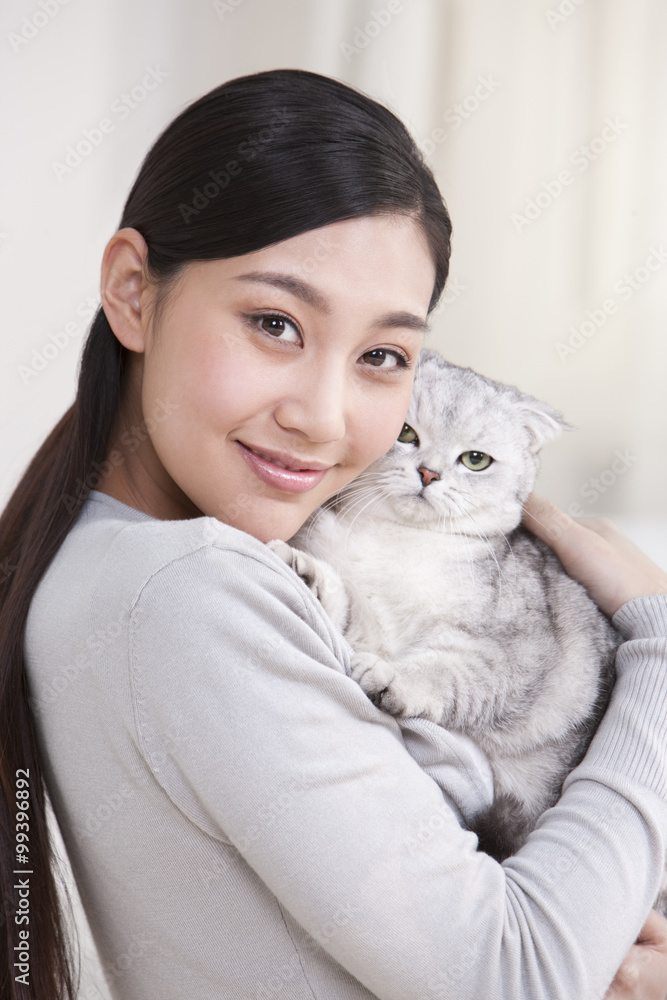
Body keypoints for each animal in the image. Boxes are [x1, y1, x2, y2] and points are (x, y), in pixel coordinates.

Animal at [266, 350, 620, 868]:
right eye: (405, 433)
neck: (397, 542)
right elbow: (346, 608)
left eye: (475, 460)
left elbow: (445, 672)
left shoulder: (509, 654)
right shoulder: (371, 625)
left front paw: (393, 680)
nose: (429, 473)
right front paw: (307, 575)